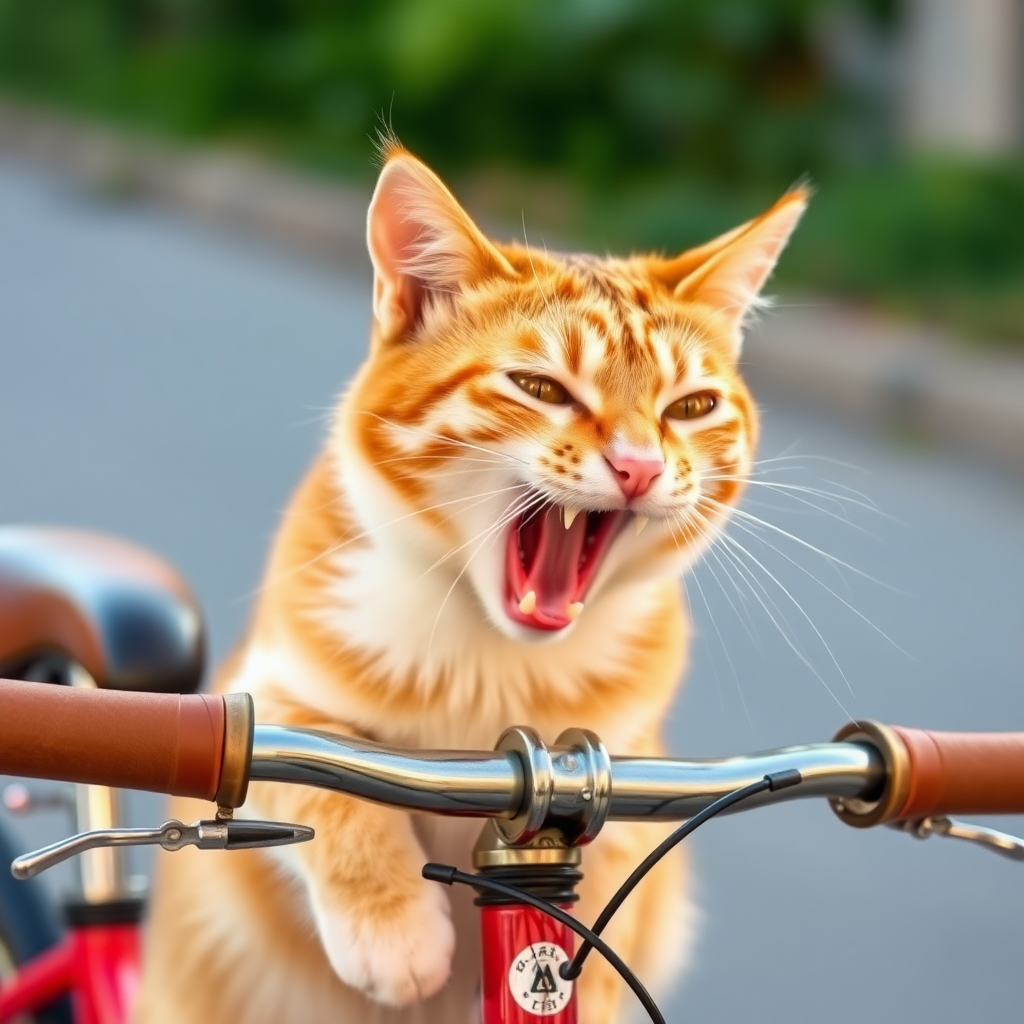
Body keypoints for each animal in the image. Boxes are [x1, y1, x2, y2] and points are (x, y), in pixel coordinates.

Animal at [136, 142, 806, 1024]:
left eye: (691, 407)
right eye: (543, 389)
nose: (639, 466)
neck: (496, 663)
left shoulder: (626, 766)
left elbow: (610, 888)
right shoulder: (260, 697)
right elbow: (319, 784)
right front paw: (392, 925)